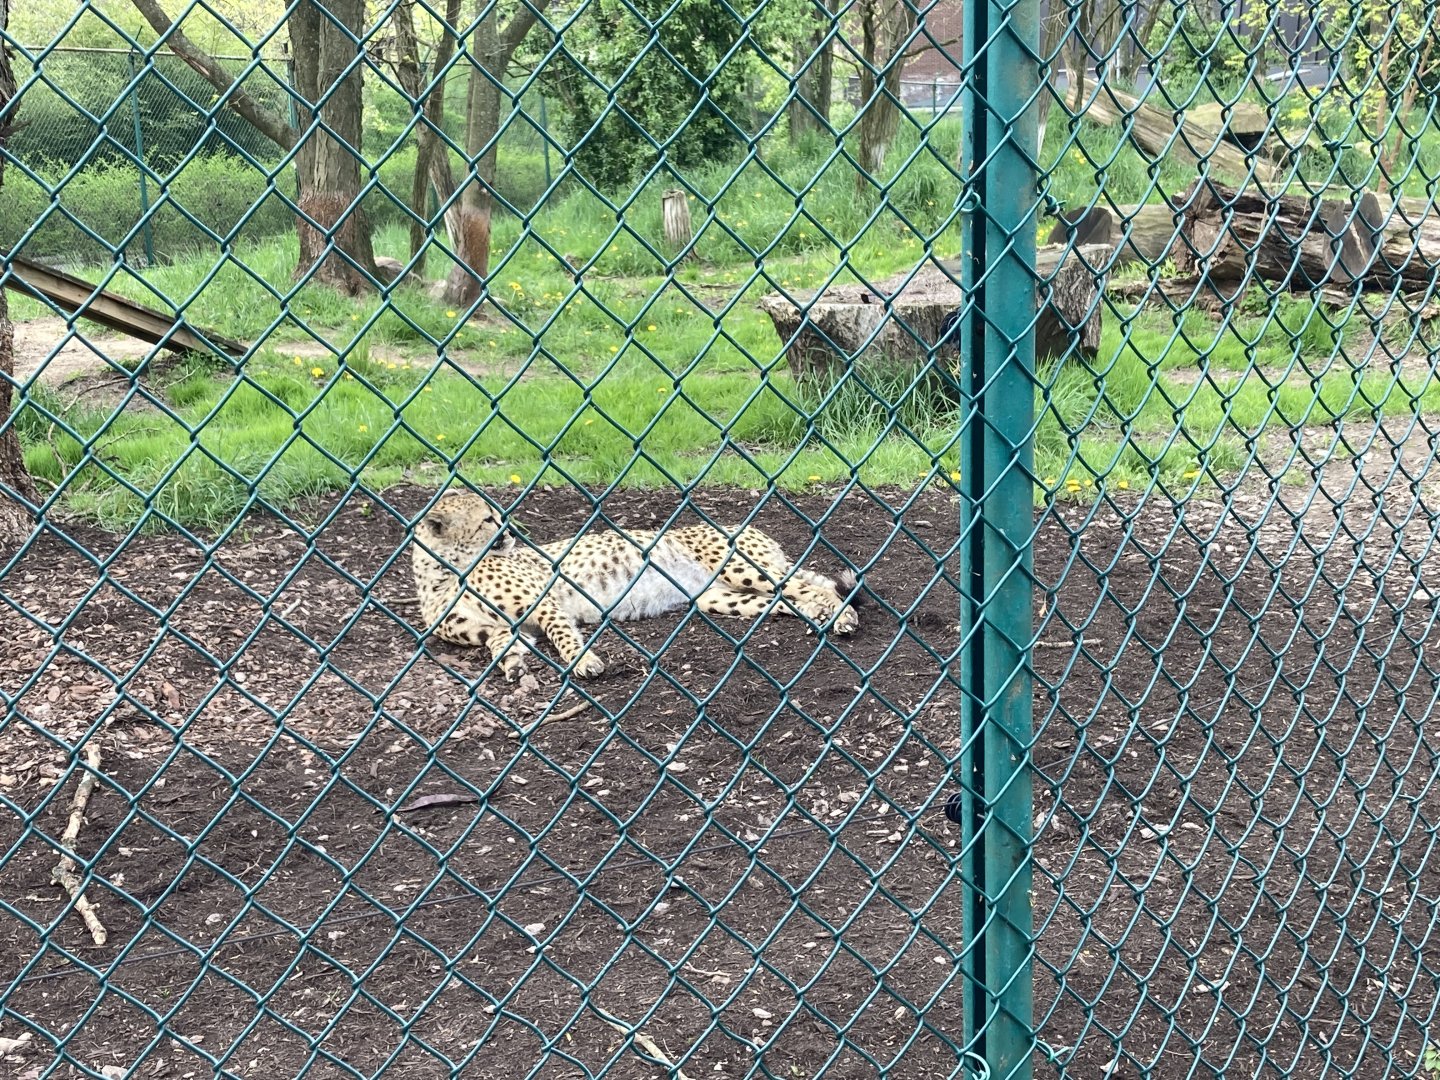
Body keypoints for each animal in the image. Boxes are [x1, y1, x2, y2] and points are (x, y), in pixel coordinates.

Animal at [411, 488, 861, 680]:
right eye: (487, 519)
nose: (512, 532)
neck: (445, 572)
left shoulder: (545, 604)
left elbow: (562, 635)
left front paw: (584, 662)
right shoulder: (498, 628)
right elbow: (498, 643)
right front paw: (513, 664)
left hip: (743, 567)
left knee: (812, 587)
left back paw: (842, 617)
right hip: (715, 598)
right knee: (794, 598)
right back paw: (824, 617)